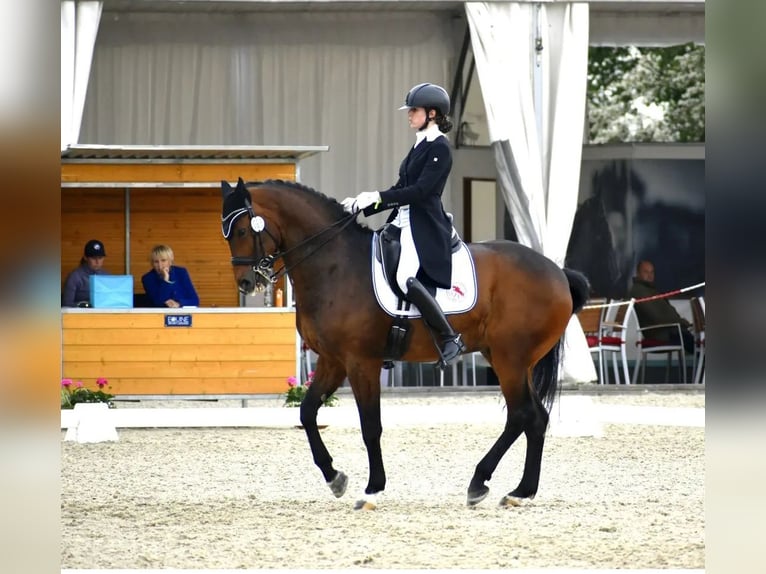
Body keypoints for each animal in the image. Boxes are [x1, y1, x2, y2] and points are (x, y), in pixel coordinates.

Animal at [221, 177, 589, 510]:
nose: (246, 283)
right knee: (535, 418)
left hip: (509, 358)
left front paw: (372, 490)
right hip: (510, 359)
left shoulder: (361, 362)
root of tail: (558, 273)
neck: (335, 265)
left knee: (521, 414)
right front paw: (334, 477)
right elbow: (307, 413)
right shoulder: (332, 360)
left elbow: (370, 426)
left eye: (242, 231)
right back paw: (520, 492)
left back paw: (480, 482)